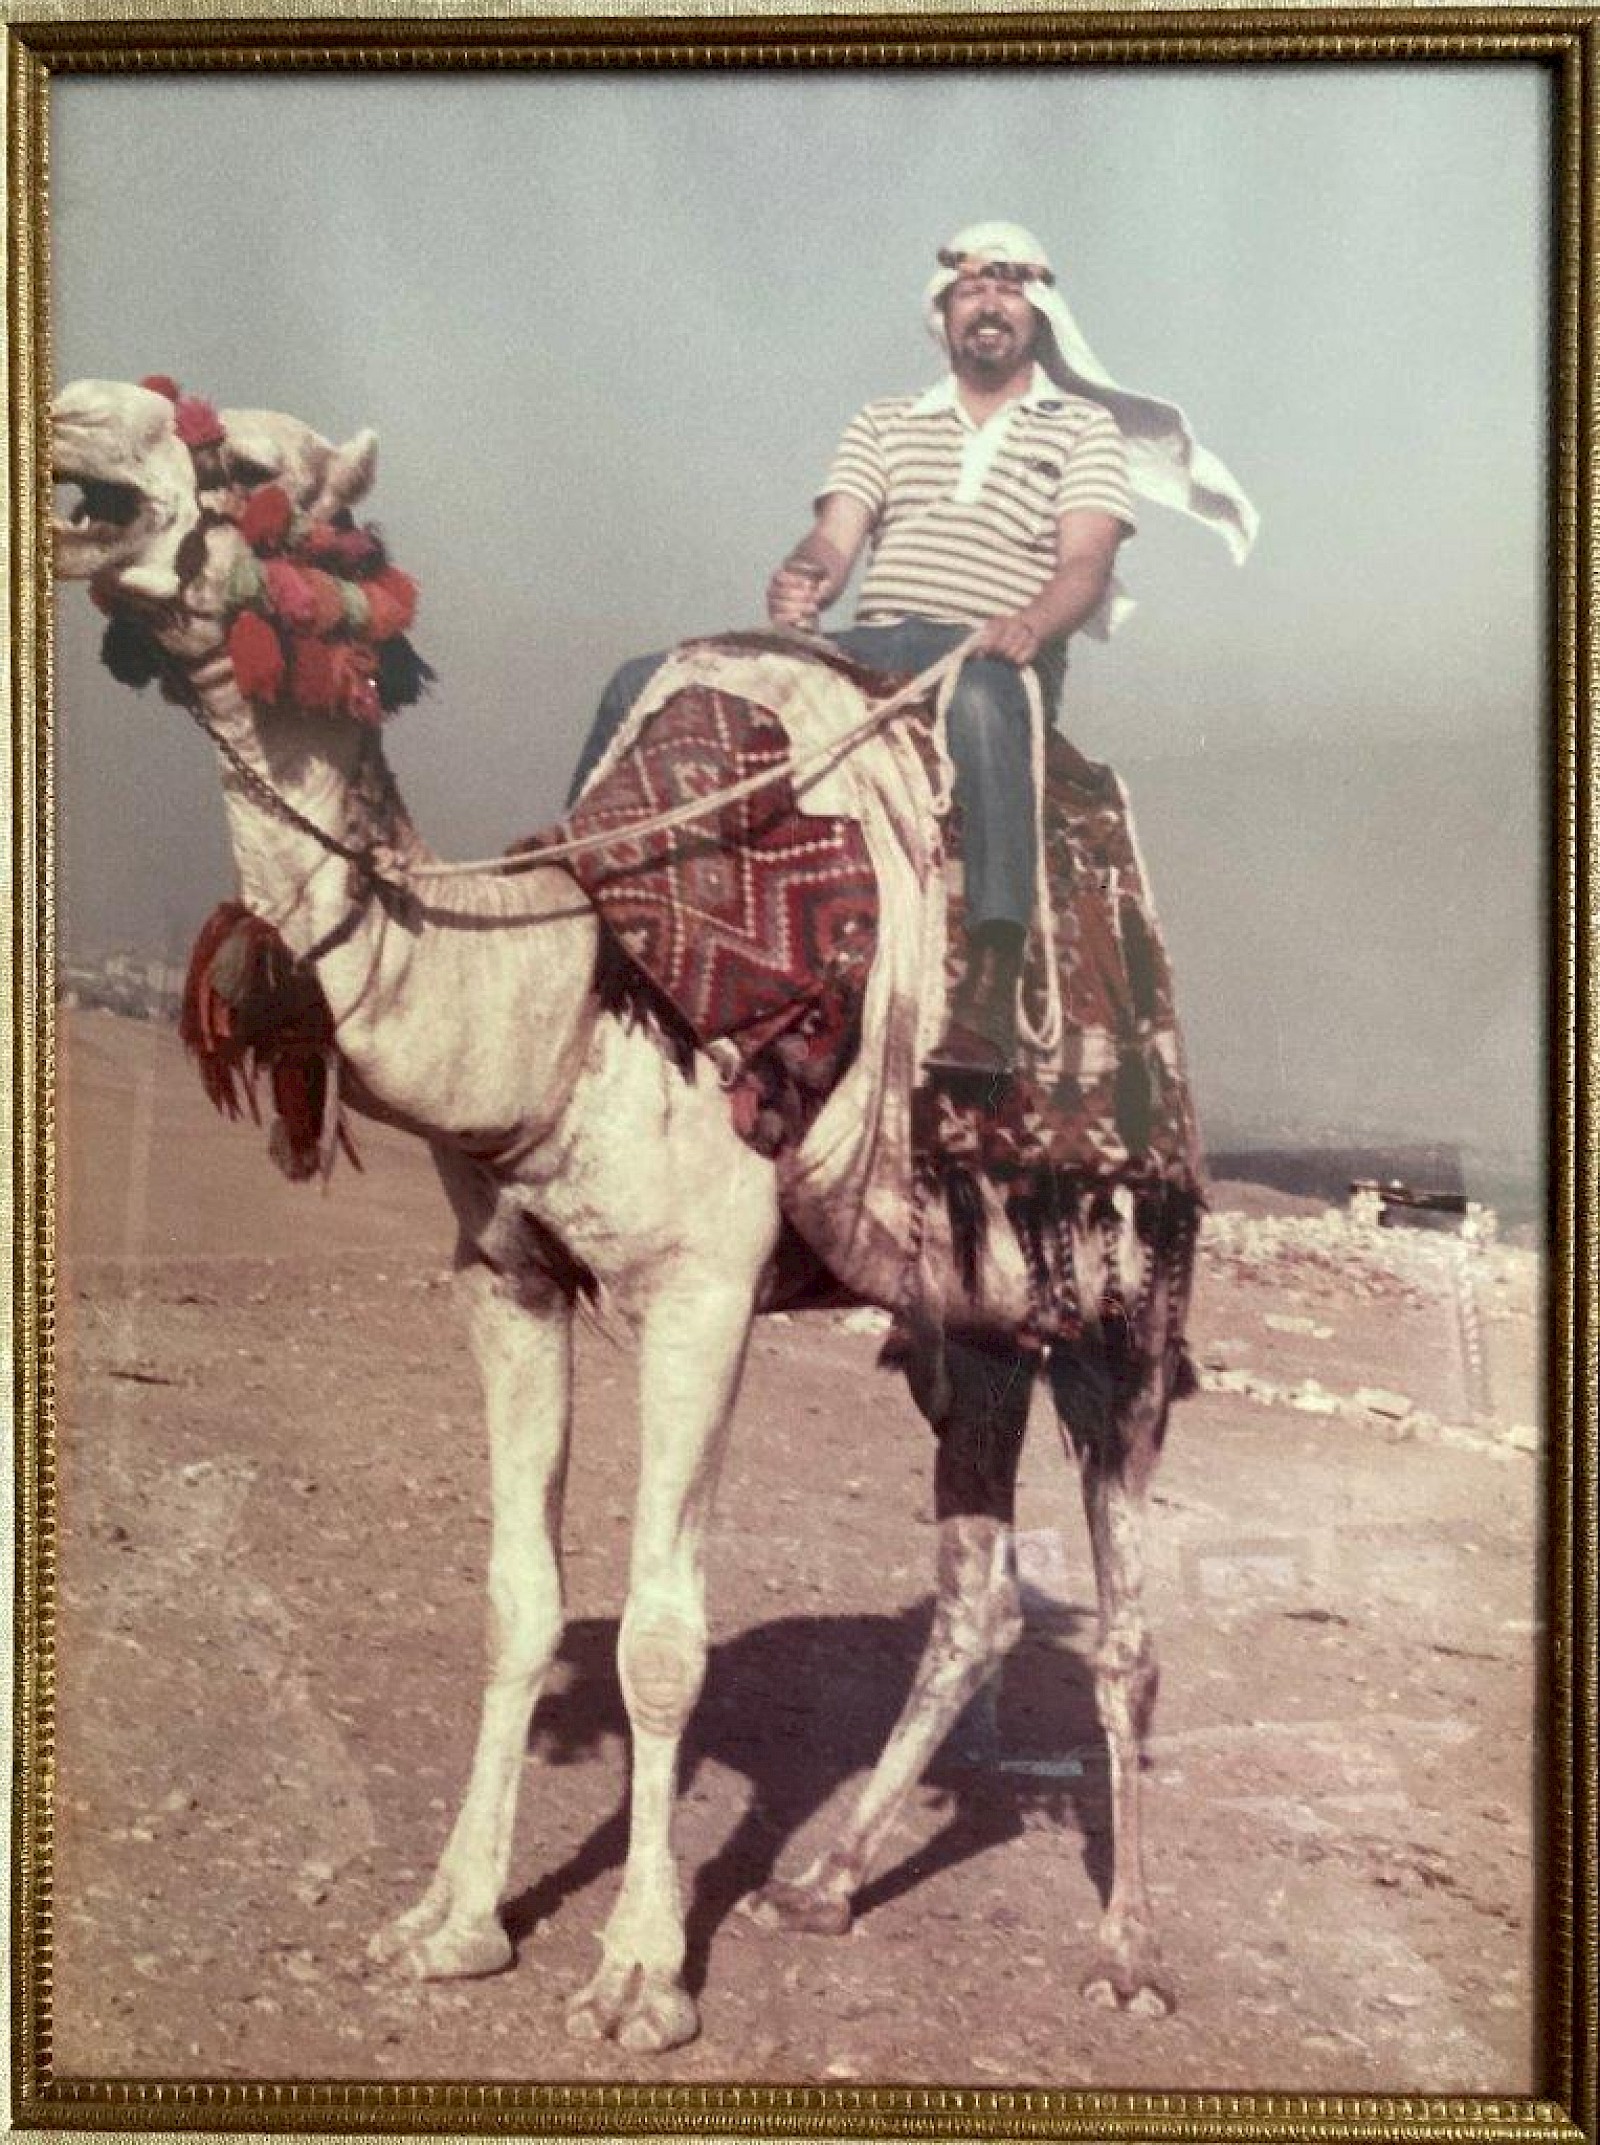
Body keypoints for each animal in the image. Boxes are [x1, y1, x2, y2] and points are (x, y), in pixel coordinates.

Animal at [53, 377, 1183, 2050]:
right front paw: (452, 1920)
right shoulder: (505, 1278)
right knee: (977, 1593)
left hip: (1117, 1287)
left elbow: (661, 1637)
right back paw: (821, 1884)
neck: (575, 987)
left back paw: (1126, 1948)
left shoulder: (701, 1293)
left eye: (244, 458)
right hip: (960, 1314)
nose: (72, 420)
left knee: (1123, 1624)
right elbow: (519, 1602)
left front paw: (643, 1971)